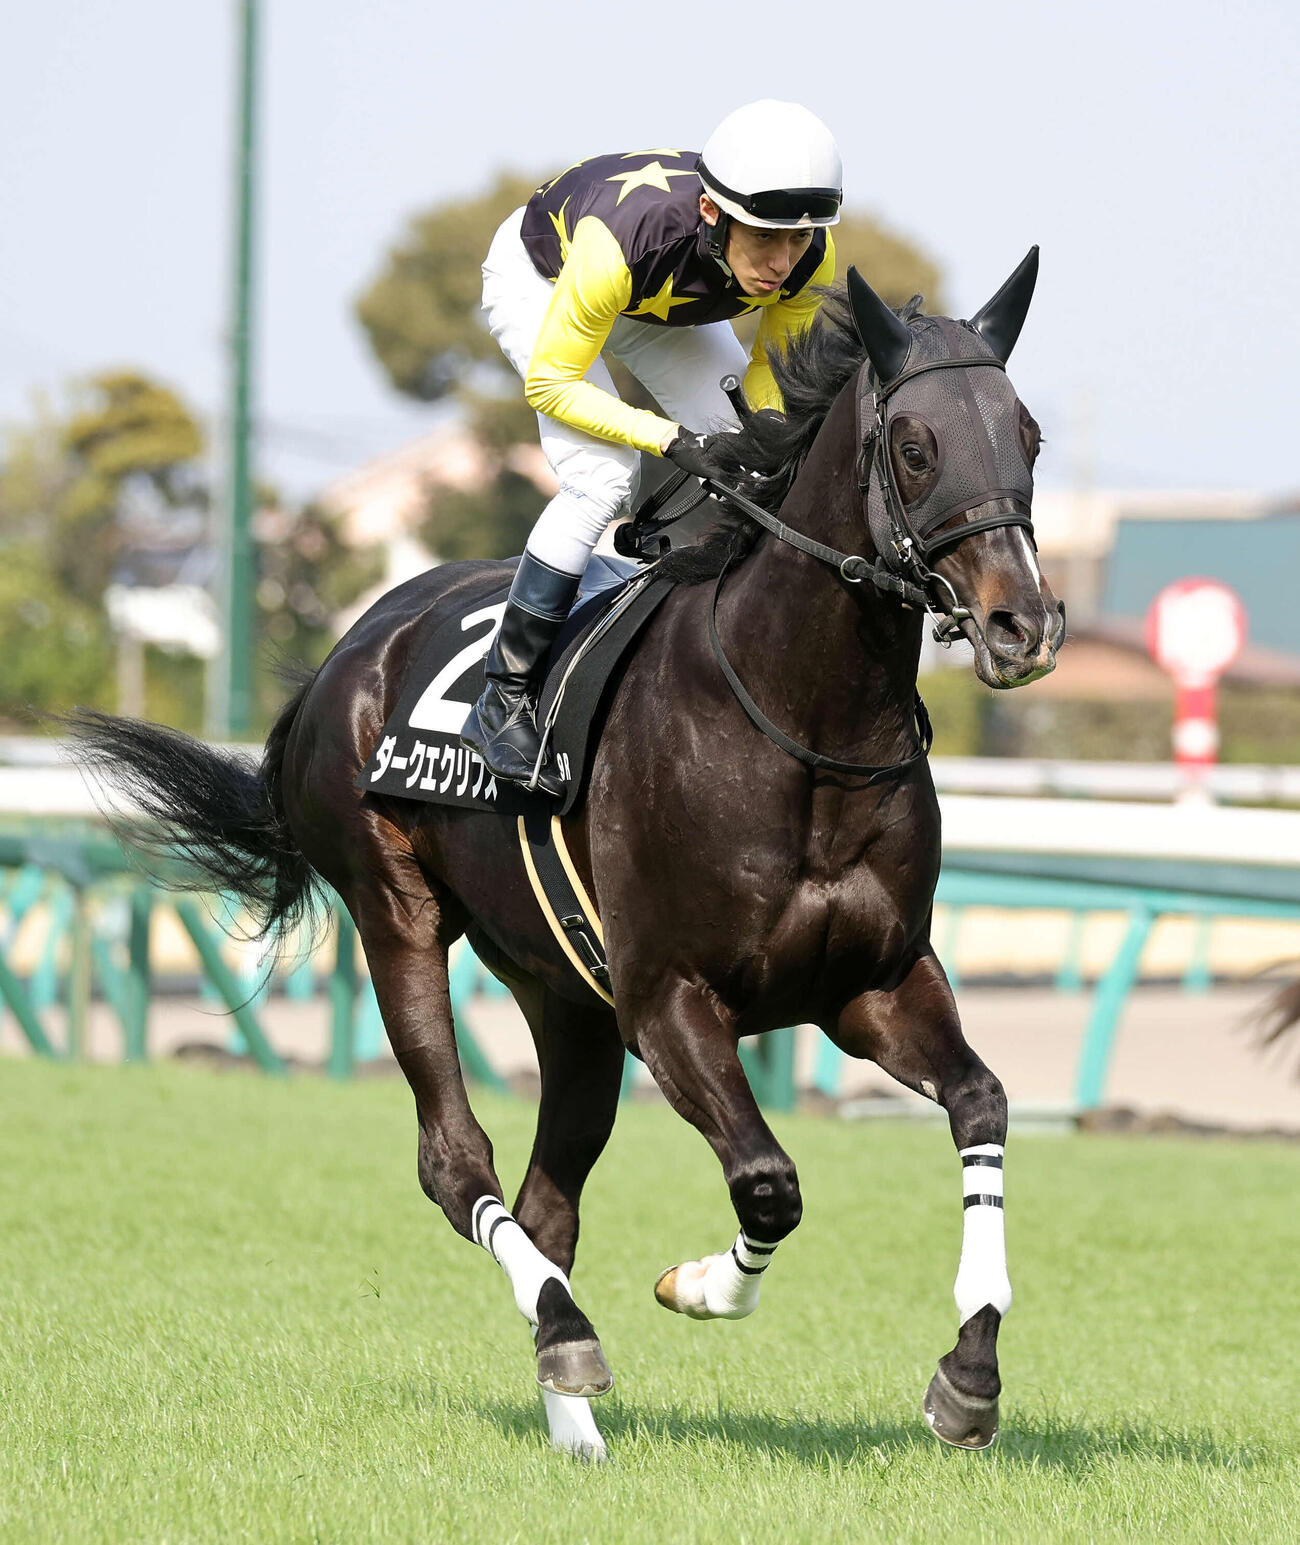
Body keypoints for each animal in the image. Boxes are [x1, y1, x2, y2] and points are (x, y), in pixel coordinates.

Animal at [68, 254, 1063, 1461]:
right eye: (915, 445)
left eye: (1027, 433)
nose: (1023, 626)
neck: (798, 716)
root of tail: (352, 648)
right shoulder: (669, 998)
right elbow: (769, 1182)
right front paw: (698, 1285)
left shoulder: (871, 983)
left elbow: (981, 1104)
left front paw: (969, 1374)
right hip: (398, 913)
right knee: (457, 1162)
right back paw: (569, 1343)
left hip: (565, 997)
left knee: (549, 1198)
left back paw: (571, 1416)